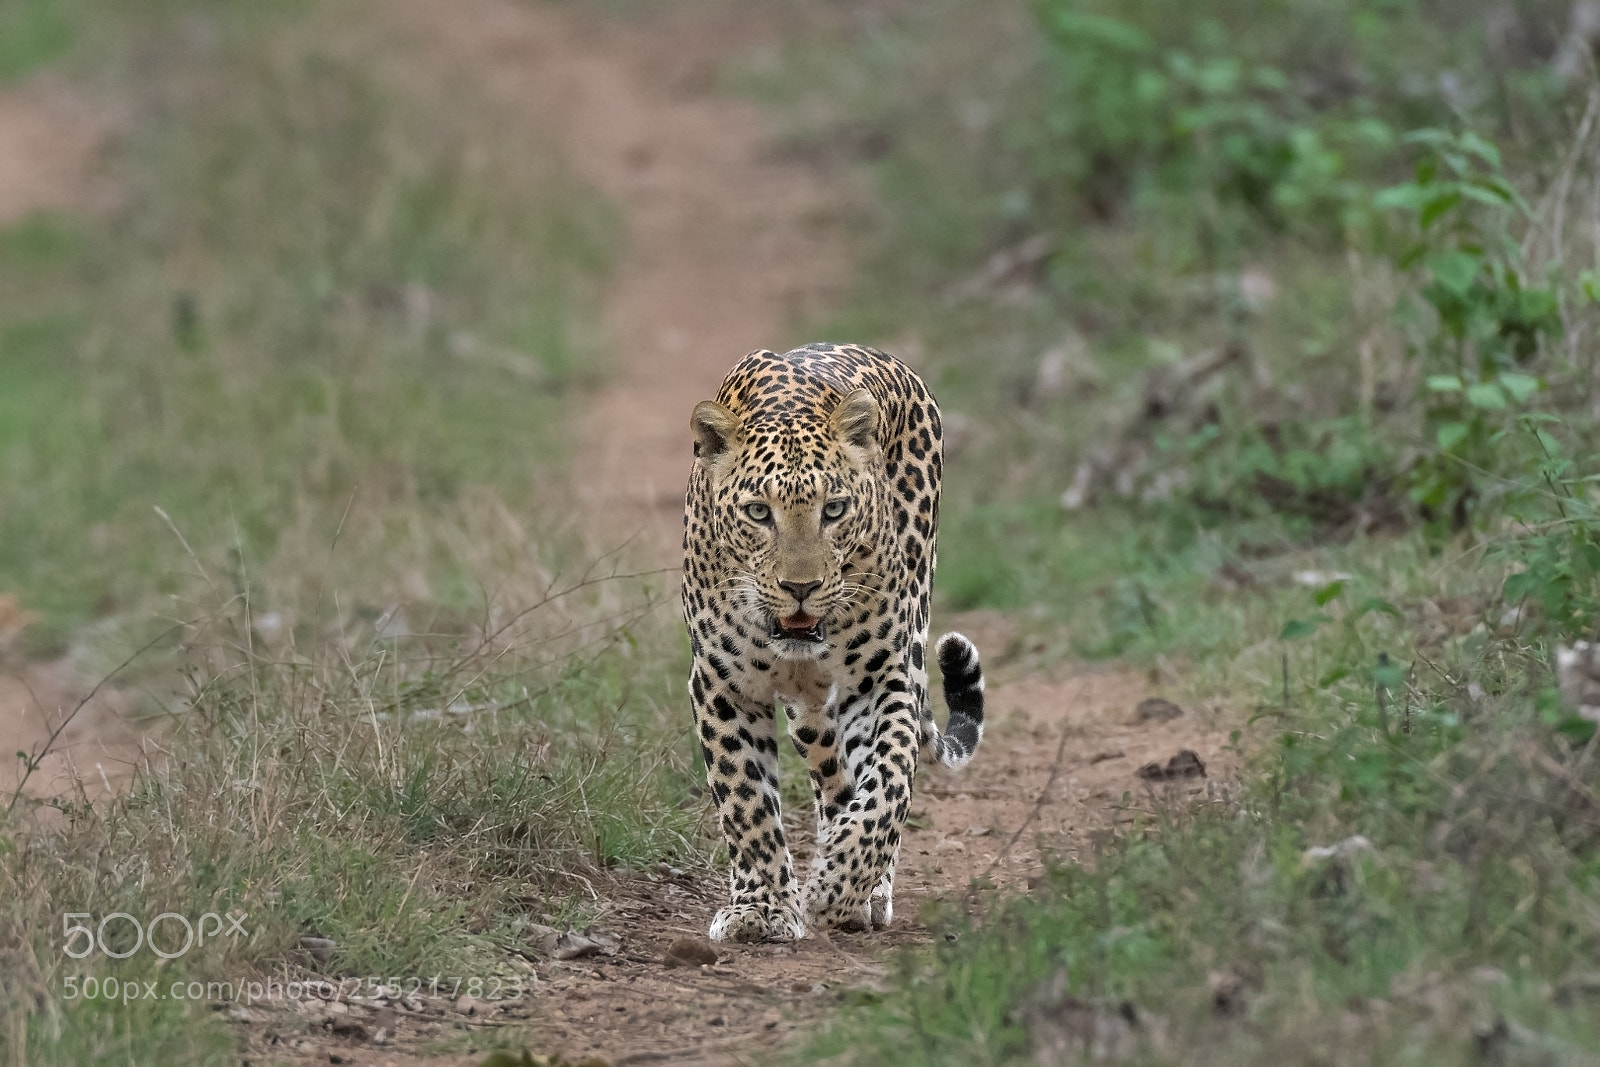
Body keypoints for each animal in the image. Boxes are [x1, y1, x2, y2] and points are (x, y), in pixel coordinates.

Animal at [682, 342, 985, 943]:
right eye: (758, 512)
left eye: (835, 509)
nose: (801, 588)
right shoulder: (721, 685)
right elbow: (745, 800)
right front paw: (764, 908)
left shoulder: (880, 677)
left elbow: (889, 782)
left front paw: (839, 885)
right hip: (809, 716)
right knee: (833, 779)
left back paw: (865, 888)